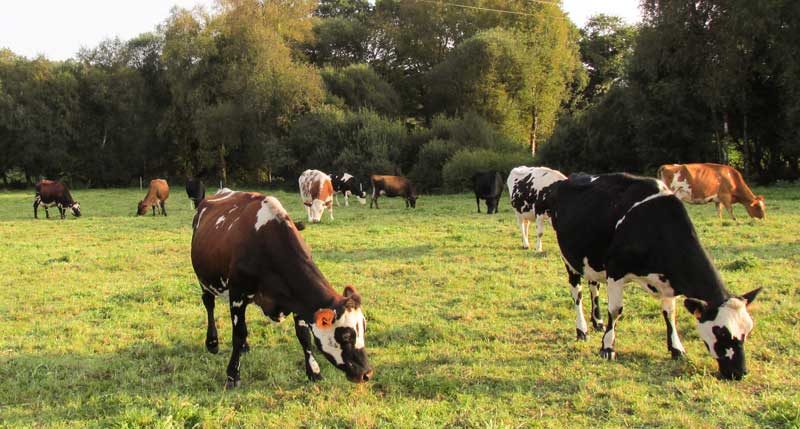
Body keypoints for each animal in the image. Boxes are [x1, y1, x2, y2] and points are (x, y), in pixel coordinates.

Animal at [192, 189, 374, 386]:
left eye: (363, 329)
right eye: (346, 336)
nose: (367, 373)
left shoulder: (298, 300)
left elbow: (304, 335)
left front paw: (313, 371)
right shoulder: (238, 295)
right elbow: (238, 334)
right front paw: (233, 374)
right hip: (204, 280)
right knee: (209, 304)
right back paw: (212, 342)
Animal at [536, 172, 764, 380]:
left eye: (747, 331)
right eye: (721, 332)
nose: (740, 372)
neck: (654, 224)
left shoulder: (668, 282)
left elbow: (669, 314)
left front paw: (676, 348)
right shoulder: (615, 270)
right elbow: (616, 311)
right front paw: (607, 348)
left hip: (591, 259)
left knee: (594, 287)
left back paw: (597, 321)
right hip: (570, 260)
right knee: (577, 294)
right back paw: (582, 329)